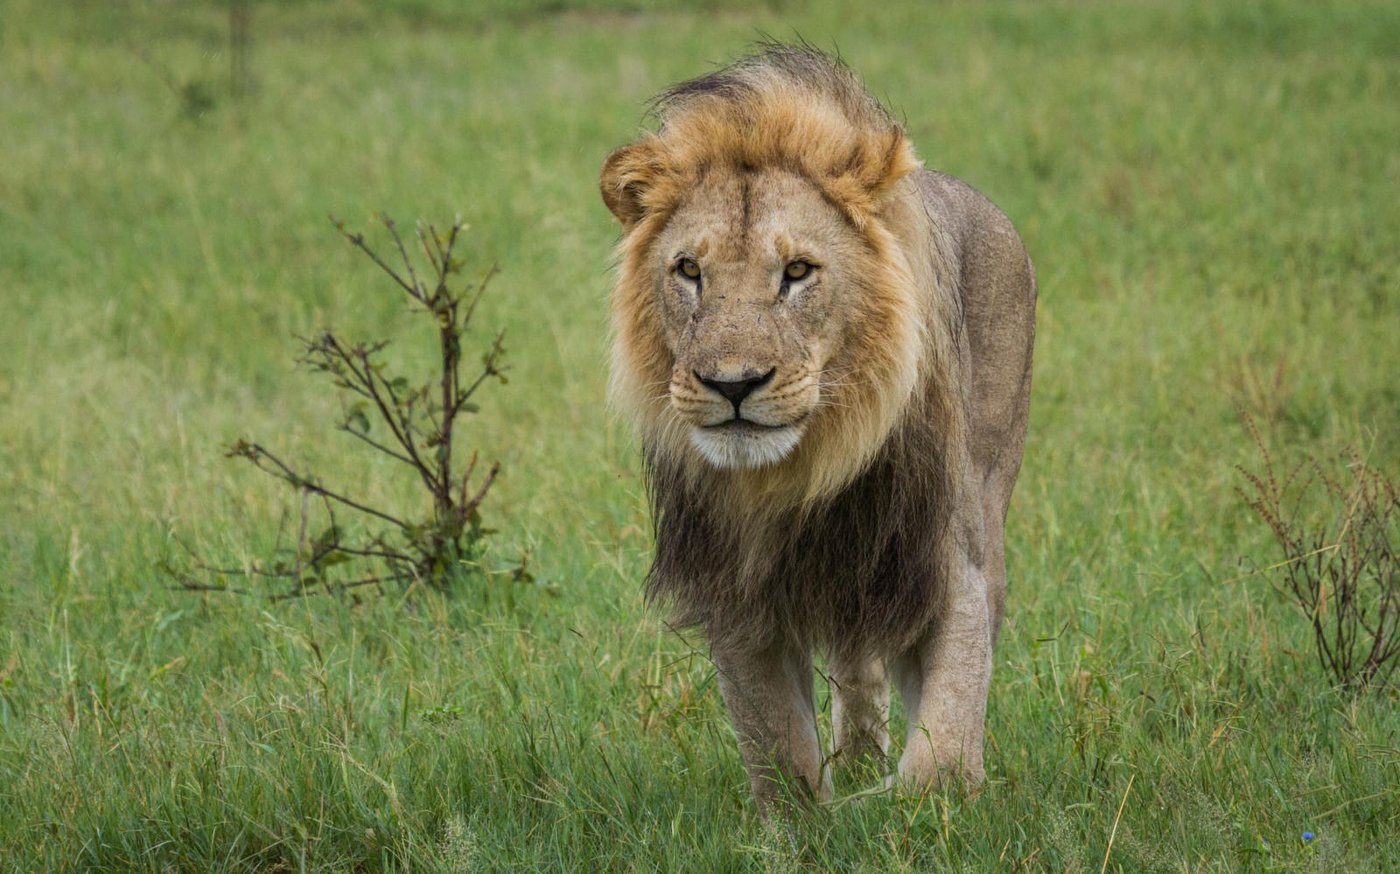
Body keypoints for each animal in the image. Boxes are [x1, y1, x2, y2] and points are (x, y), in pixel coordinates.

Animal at [600, 45, 1036, 811]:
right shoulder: (737, 598)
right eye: (689, 270)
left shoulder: (946, 566)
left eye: (798, 271)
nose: (732, 384)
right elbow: (780, 752)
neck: (801, 471)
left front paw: (888, 803)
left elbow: (943, 763)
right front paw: (818, 812)